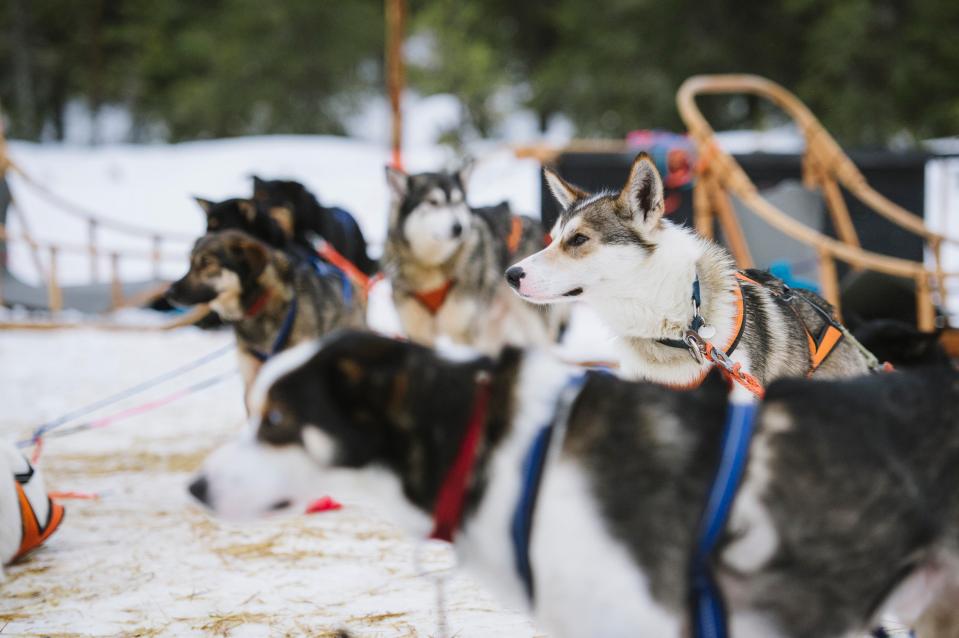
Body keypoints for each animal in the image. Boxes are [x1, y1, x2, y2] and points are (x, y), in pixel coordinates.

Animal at [384, 166, 564, 356]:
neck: (432, 265)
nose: (459, 228)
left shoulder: (465, 335)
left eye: (458, 202)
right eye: (433, 202)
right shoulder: (418, 334)